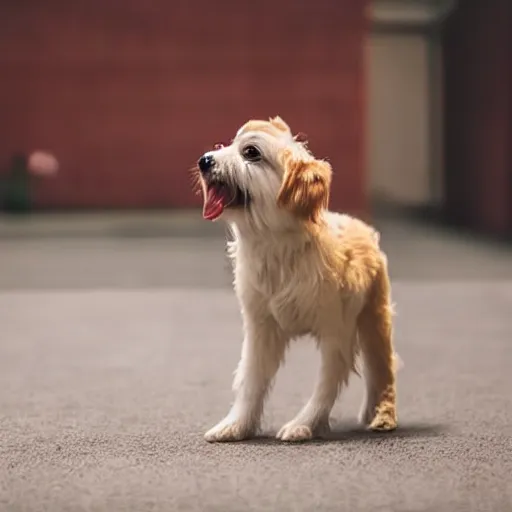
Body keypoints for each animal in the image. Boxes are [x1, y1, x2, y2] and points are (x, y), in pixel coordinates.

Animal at [194, 115, 398, 440]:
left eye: (250, 152)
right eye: (225, 145)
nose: (204, 160)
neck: (276, 247)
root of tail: (363, 227)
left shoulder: (336, 332)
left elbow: (326, 385)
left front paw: (303, 424)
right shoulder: (261, 328)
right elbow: (250, 381)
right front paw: (235, 425)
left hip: (374, 319)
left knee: (382, 369)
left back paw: (384, 415)